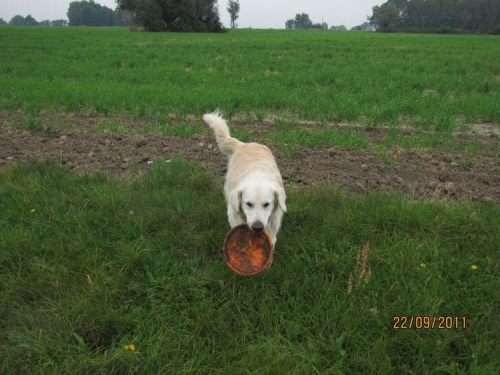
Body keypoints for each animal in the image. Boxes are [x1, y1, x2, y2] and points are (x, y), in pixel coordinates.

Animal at [202, 111, 288, 247]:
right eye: (248, 204)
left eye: (266, 204)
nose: (258, 227)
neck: (258, 177)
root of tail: (243, 144)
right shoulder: (235, 216)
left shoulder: (272, 232)